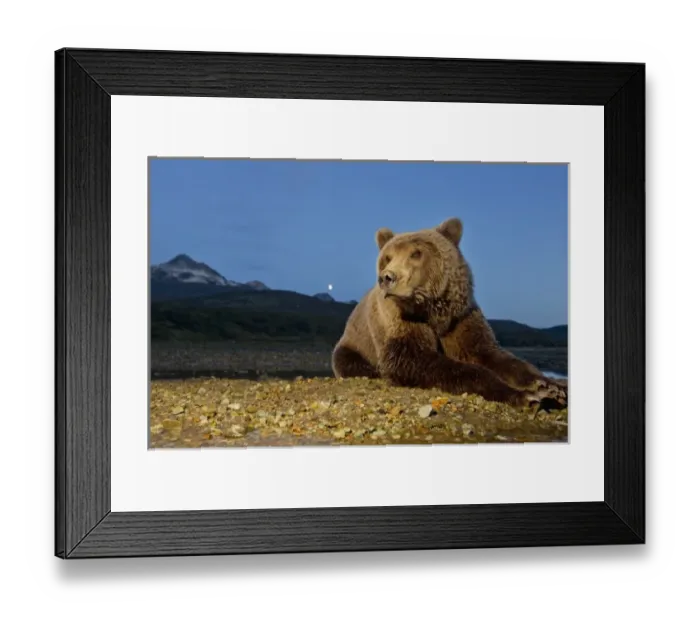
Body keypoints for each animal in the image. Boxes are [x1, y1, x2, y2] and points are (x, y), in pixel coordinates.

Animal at [331, 217, 567, 410]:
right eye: (387, 257)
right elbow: (414, 359)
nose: (387, 277)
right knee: (352, 361)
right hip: (355, 343)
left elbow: (492, 354)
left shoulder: (460, 319)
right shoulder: (402, 321)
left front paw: (552, 386)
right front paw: (525, 396)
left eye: (416, 253)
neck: (433, 310)